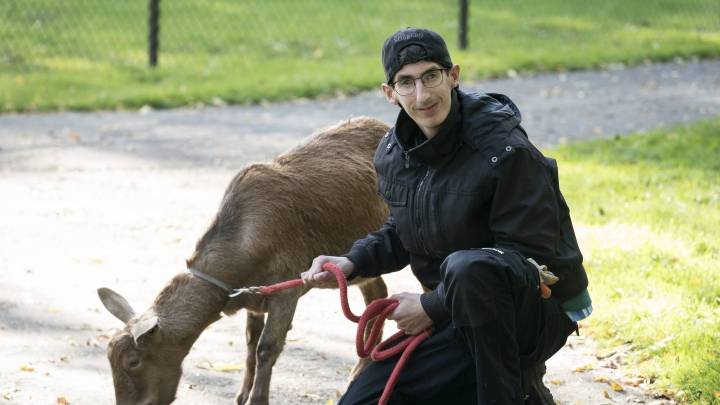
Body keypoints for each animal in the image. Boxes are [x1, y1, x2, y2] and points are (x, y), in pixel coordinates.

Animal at [96, 115, 390, 402]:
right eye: (110, 359)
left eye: (133, 361)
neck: (243, 242)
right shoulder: (255, 297)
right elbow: (250, 341)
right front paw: (241, 395)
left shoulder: (287, 289)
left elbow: (267, 347)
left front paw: (258, 399)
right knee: (377, 295)